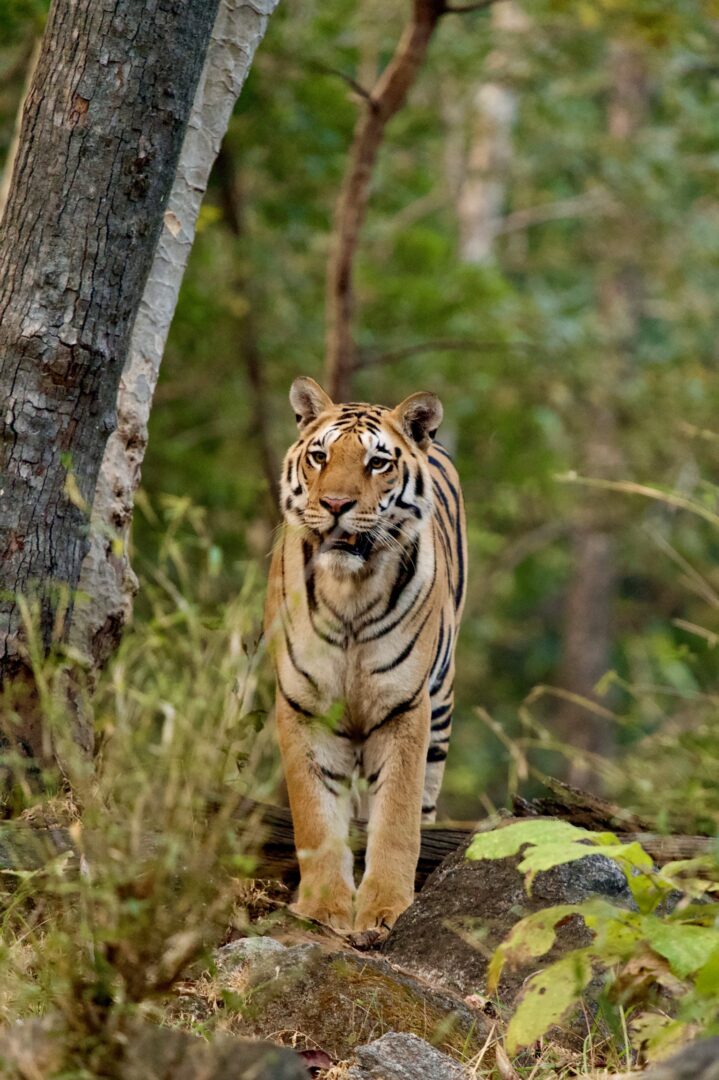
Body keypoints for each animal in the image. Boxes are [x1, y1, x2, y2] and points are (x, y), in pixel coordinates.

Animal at [264, 376, 466, 933]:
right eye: (319, 456)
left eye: (377, 462)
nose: (335, 503)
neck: (349, 591)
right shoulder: (303, 706)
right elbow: (315, 817)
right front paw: (325, 906)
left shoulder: (403, 707)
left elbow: (396, 816)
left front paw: (384, 908)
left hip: (441, 704)